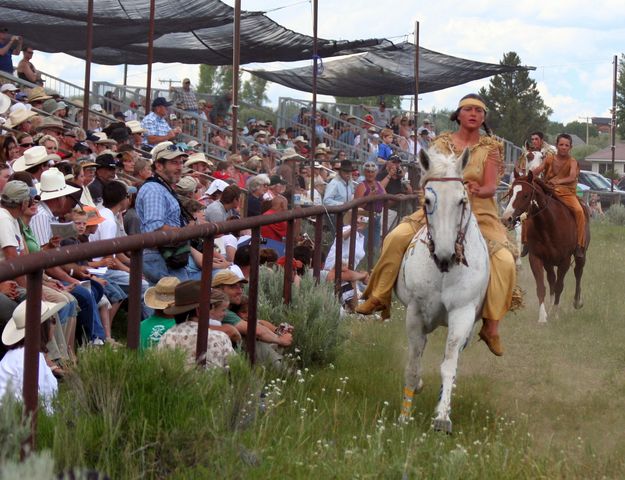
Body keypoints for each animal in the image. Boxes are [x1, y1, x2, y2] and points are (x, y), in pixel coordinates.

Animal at [398, 147, 490, 436]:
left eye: (462, 200)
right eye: (427, 200)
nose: (445, 255)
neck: (442, 272)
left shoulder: (462, 314)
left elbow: (448, 365)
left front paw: (442, 418)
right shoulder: (415, 313)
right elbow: (412, 365)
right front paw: (404, 417)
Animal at [500, 171, 588, 324]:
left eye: (525, 195)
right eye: (510, 193)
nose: (507, 218)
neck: (549, 224)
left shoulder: (564, 261)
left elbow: (559, 286)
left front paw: (555, 313)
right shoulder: (536, 258)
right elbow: (541, 287)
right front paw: (543, 316)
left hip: (581, 255)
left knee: (578, 272)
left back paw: (577, 302)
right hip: (549, 262)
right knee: (552, 279)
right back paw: (550, 305)